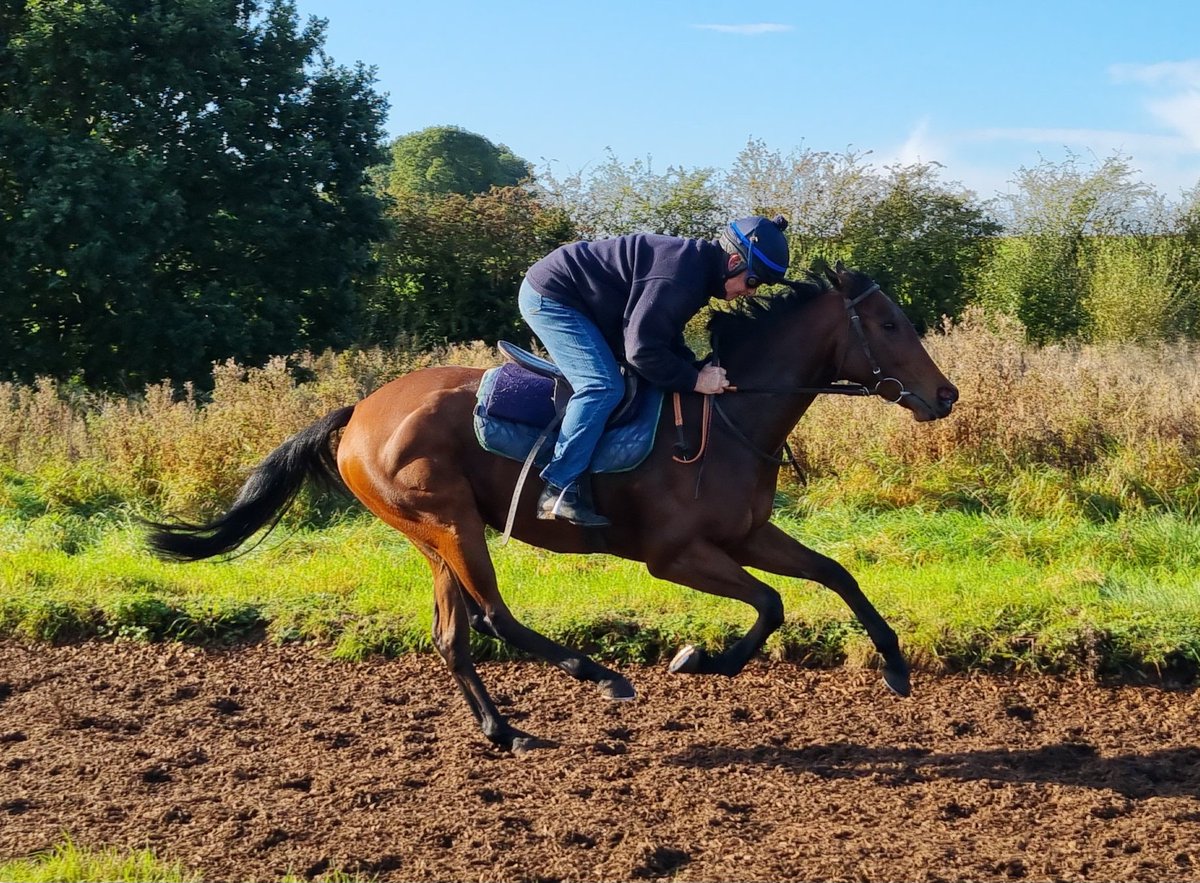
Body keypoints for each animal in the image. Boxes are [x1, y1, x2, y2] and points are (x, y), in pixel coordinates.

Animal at [148, 263, 959, 752]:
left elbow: (833, 574)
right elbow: (772, 604)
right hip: (450, 521)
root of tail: (357, 414)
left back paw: (502, 729)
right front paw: (702, 659)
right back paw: (599, 675)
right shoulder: (675, 556)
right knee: (493, 617)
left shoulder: (750, 534)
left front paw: (893, 662)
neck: (730, 415)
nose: (946, 393)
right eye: (889, 324)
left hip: (431, 535)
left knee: (453, 635)